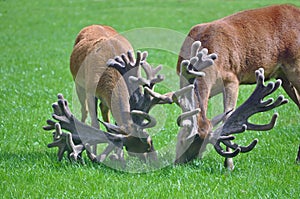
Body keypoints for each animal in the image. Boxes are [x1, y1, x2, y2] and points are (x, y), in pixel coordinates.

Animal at [176, 3, 300, 167]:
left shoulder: (232, 78)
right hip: (284, 77)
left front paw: (229, 165)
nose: (180, 163)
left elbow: (227, 116)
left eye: (201, 147)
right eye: (182, 139)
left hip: (296, 68)